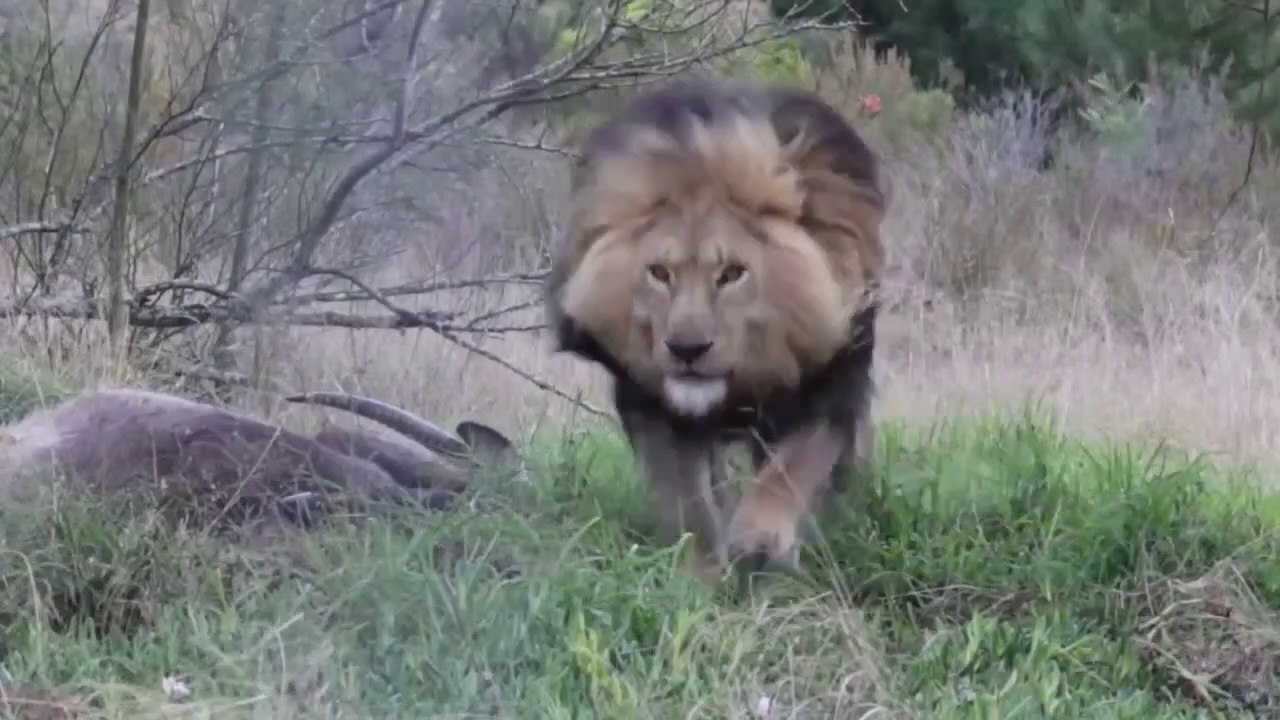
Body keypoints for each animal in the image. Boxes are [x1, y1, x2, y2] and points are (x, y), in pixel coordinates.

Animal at [544, 78, 887, 578]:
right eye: (659, 273)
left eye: (732, 274)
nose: (687, 349)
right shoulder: (650, 403)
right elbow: (687, 498)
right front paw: (701, 568)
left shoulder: (830, 387)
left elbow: (791, 470)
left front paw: (760, 542)